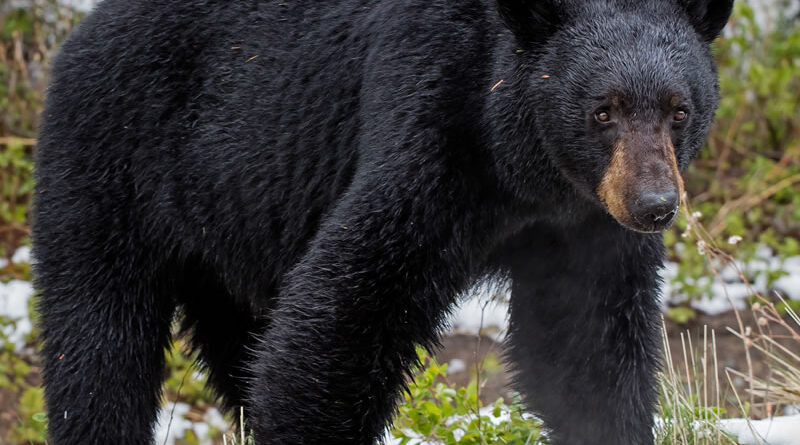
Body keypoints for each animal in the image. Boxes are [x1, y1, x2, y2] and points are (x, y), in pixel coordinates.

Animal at [32, 0, 732, 442]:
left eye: (679, 109)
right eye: (601, 111)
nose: (654, 205)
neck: (526, 178)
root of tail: (80, 31)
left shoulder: (583, 228)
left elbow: (587, 349)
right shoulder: (429, 135)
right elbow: (341, 317)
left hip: (230, 236)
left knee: (241, 341)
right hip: (109, 164)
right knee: (98, 342)